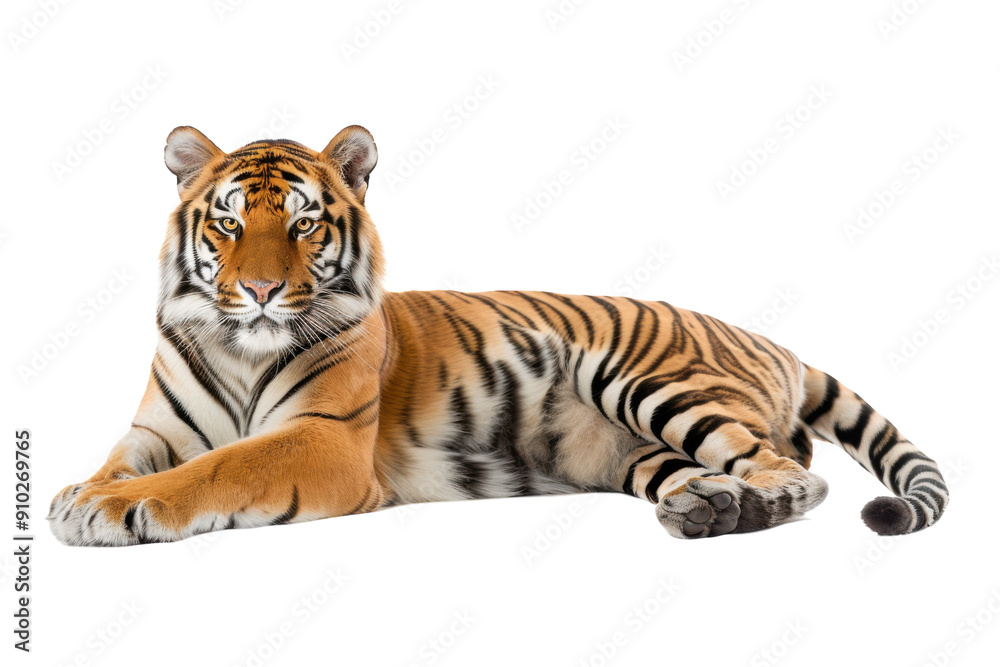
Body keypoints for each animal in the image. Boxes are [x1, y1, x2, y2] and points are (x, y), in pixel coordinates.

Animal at [48, 125, 949, 546]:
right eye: (230, 223)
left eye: (303, 223)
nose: (261, 289)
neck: (241, 345)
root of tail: (768, 339)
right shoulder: (153, 430)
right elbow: (124, 461)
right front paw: (78, 492)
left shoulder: (324, 437)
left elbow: (220, 467)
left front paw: (110, 508)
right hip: (631, 451)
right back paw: (708, 507)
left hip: (656, 382)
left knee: (795, 469)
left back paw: (751, 505)